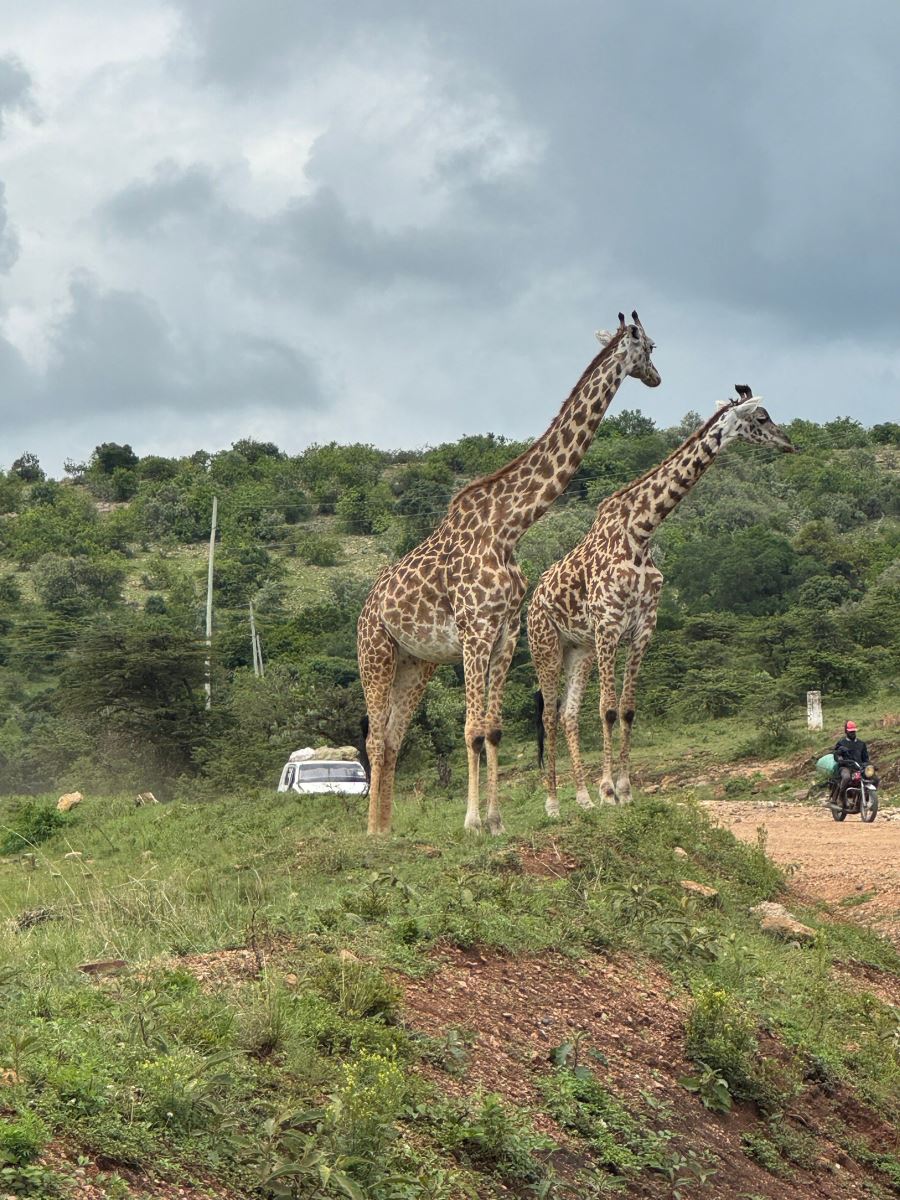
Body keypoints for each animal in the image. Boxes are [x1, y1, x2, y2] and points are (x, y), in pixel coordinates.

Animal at [357, 312, 662, 835]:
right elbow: (471, 730)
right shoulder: (475, 631)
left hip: (415, 663)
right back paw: (374, 833)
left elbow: (493, 730)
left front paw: (496, 821)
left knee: (393, 738)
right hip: (374, 653)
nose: (657, 377)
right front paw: (472, 822)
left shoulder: (504, 635)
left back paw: (388, 828)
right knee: (376, 738)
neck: (508, 527)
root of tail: (365, 610)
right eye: (650, 347)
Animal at [528, 384, 796, 816]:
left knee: (568, 714)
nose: (789, 442)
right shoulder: (608, 627)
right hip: (546, 646)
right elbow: (607, 709)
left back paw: (582, 799)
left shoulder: (642, 630)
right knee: (551, 714)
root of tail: (533, 600)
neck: (641, 531)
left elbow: (627, 709)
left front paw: (624, 791)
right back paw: (554, 803)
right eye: (761, 417)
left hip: (578, 649)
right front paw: (609, 791)